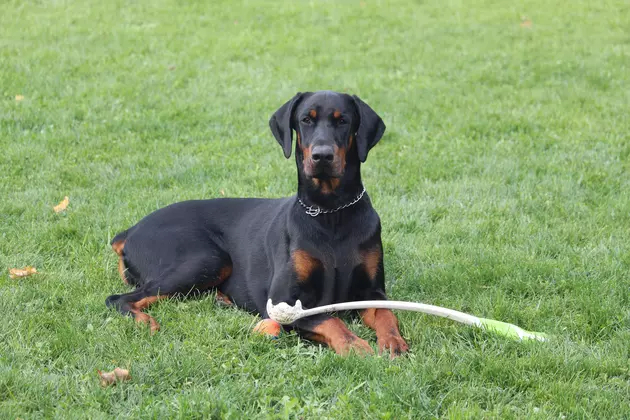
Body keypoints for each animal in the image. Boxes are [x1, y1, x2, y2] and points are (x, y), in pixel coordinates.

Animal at [106, 90, 412, 356]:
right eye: (306, 119)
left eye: (343, 120)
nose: (322, 156)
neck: (331, 213)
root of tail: (130, 231)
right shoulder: (284, 301)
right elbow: (329, 320)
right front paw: (355, 345)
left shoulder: (372, 291)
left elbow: (387, 314)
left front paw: (394, 343)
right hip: (207, 257)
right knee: (117, 299)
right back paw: (145, 322)